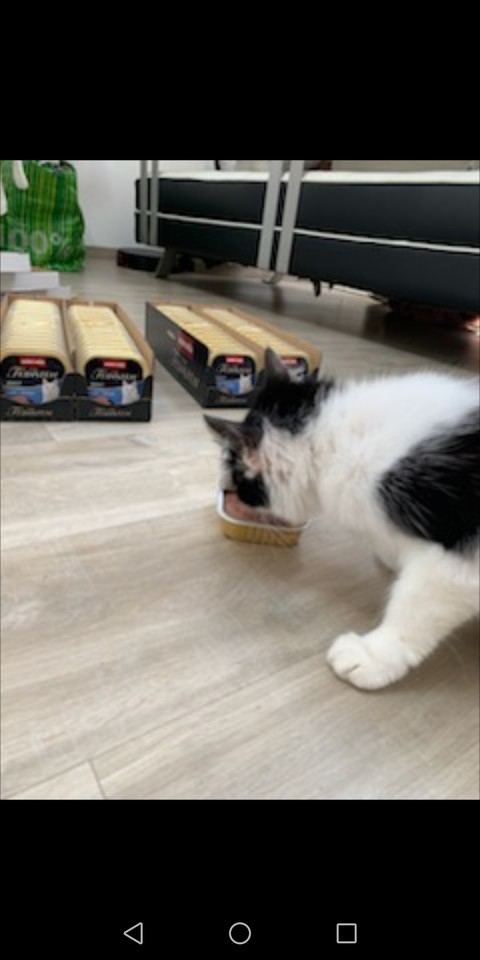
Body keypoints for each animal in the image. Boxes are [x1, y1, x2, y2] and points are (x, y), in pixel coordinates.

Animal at [206, 348, 479, 690]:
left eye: (237, 484)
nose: (222, 487)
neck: (334, 437)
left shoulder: (461, 557)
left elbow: (417, 604)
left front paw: (374, 655)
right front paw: (395, 556)